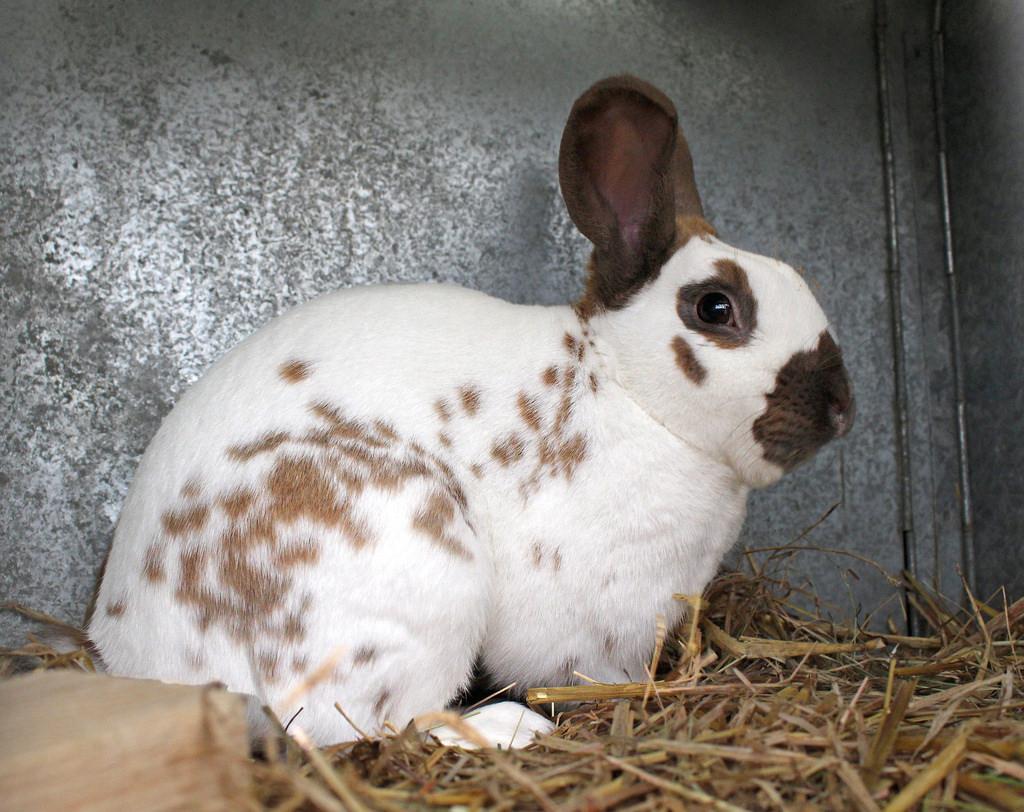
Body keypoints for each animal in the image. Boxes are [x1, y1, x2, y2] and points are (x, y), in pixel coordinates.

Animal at [87, 75, 853, 749]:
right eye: (715, 308)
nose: (841, 407)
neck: (623, 387)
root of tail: (141, 657)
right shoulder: (596, 621)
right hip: (416, 576)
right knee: (375, 724)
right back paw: (508, 729)